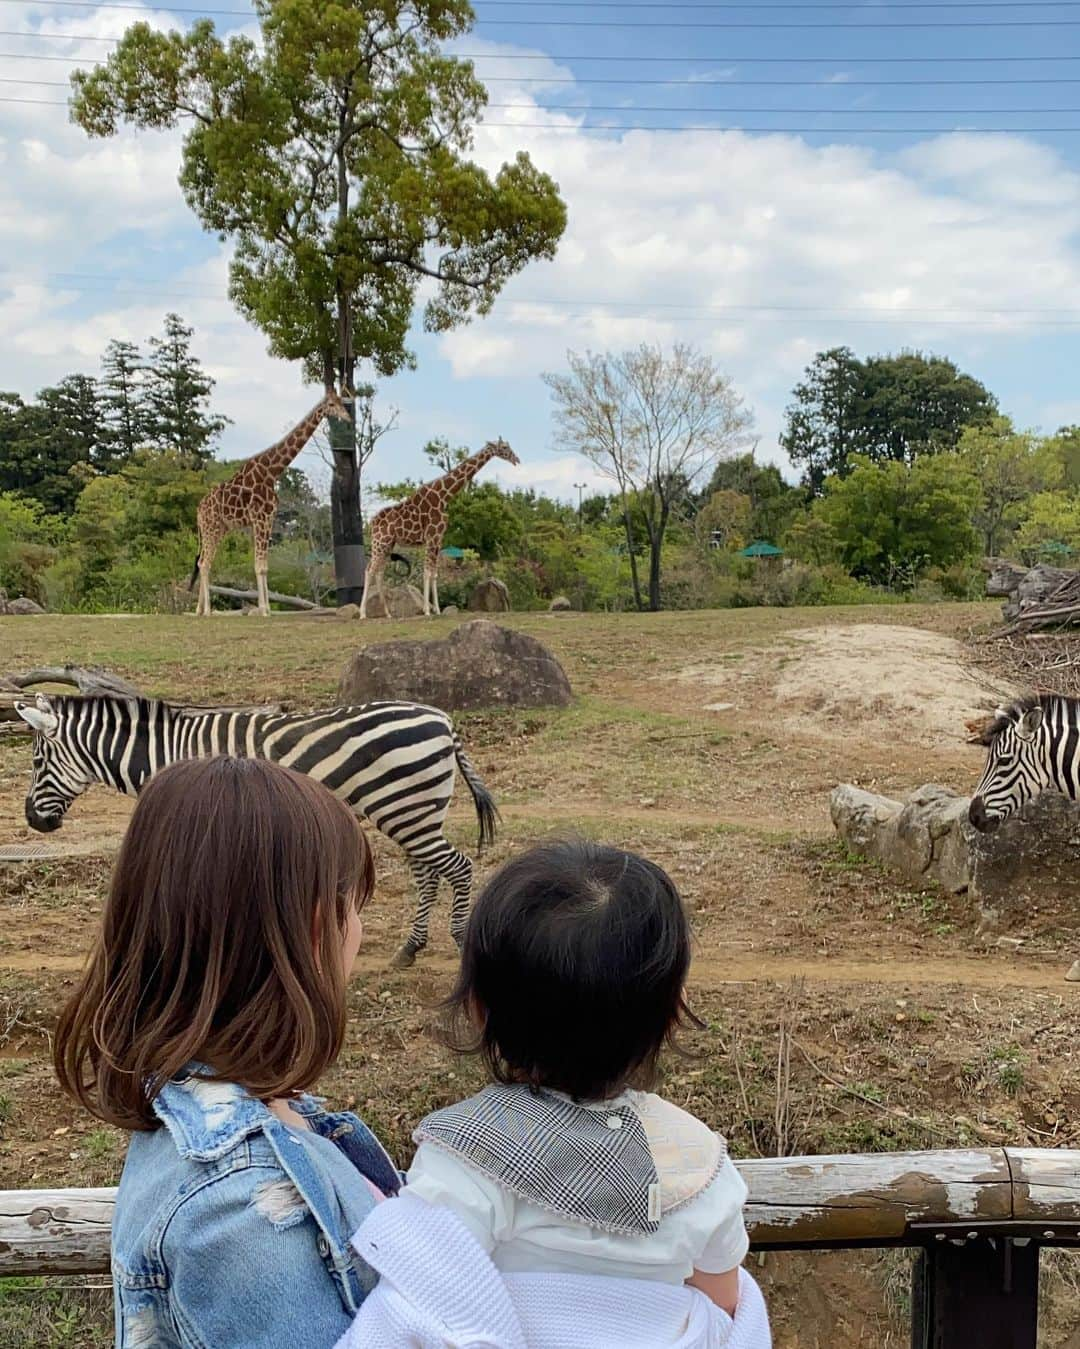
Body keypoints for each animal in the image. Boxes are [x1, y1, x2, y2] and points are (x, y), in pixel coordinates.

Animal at [12, 690, 496, 965]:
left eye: (36, 761)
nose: (33, 820)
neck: (168, 753)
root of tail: (443, 719)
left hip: (407, 809)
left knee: (459, 867)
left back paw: (458, 940)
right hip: (415, 811)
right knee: (429, 873)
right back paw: (411, 948)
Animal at [190, 385, 350, 617]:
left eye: (340, 401)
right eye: (331, 404)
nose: (347, 417)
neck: (272, 471)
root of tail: (198, 510)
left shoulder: (268, 518)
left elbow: (265, 566)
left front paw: (266, 609)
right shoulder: (260, 518)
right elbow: (259, 566)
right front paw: (264, 609)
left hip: (219, 528)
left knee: (204, 562)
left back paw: (199, 610)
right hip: (211, 528)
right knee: (204, 564)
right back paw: (208, 611)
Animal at [358, 439, 517, 617]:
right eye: (504, 447)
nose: (516, 460)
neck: (443, 497)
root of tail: (372, 523)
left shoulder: (439, 539)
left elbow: (434, 574)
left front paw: (438, 610)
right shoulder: (431, 537)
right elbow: (427, 572)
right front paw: (427, 610)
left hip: (388, 544)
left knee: (379, 572)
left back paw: (387, 614)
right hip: (379, 542)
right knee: (369, 570)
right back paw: (363, 614)